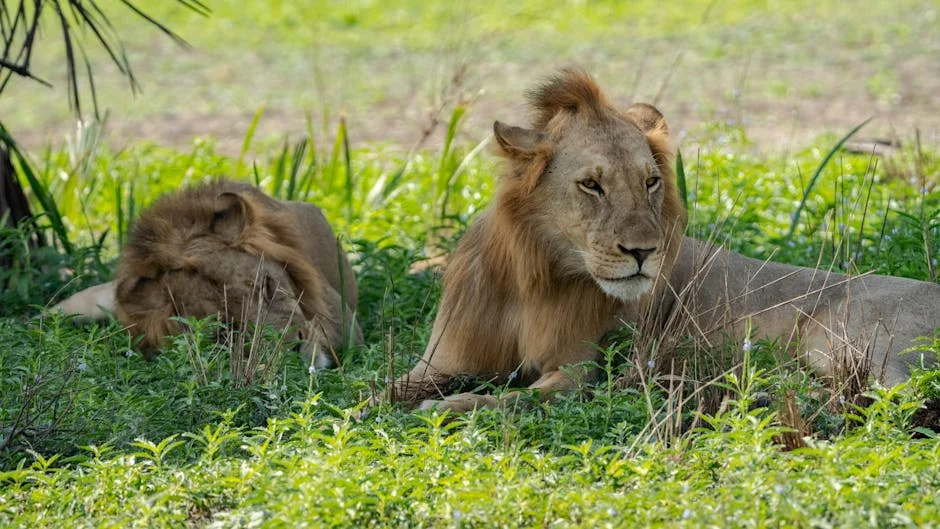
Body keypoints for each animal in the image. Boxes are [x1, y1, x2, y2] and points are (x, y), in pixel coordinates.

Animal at [383, 68, 940, 413]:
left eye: (650, 182)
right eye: (592, 185)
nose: (644, 253)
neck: (535, 277)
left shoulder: (576, 371)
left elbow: (518, 398)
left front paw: (452, 407)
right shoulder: (441, 362)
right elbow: (381, 390)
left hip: (848, 338)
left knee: (892, 398)